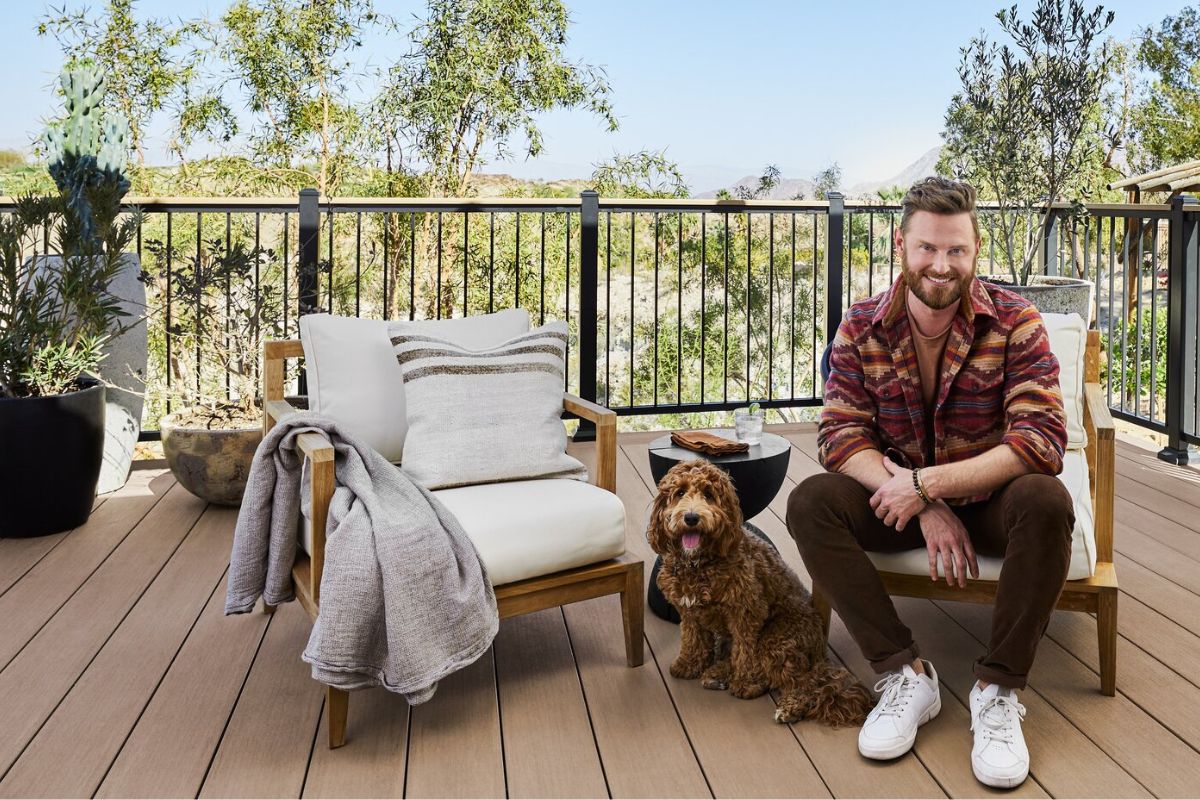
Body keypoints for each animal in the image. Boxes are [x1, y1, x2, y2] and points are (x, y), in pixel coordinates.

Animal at [648, 455, 873, 724]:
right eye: (680, 492)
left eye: (709, 494)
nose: (691, 518)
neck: (699, 562)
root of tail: (820, 648)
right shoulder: (689, 611)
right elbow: (693, 639)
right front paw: (688, 664)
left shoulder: (746, 611)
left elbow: (745, 651)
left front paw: (746, 684)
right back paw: (717, 673)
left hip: (776, 639)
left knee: (803, 681)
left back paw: (789, 706)